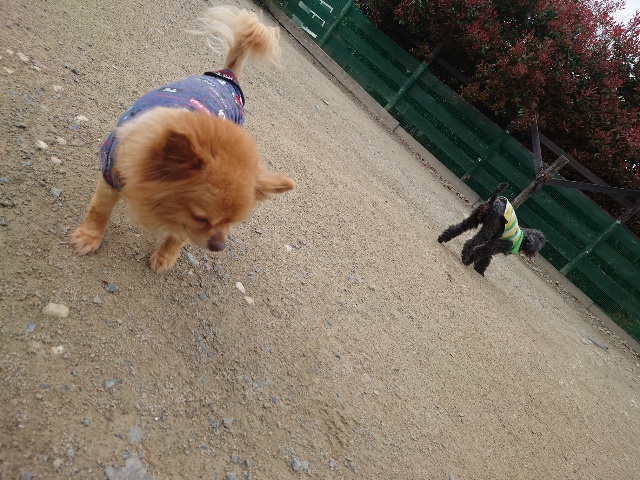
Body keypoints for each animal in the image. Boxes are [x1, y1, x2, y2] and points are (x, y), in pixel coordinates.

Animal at [70, 6, 295, 272]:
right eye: (201, 217)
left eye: (231, 223)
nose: (219, 246)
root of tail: (226, 76)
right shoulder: (111, 173)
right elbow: (100, 210)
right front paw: (89, 236)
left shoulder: (183, 221)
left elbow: (178, 236)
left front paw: (165, 256)